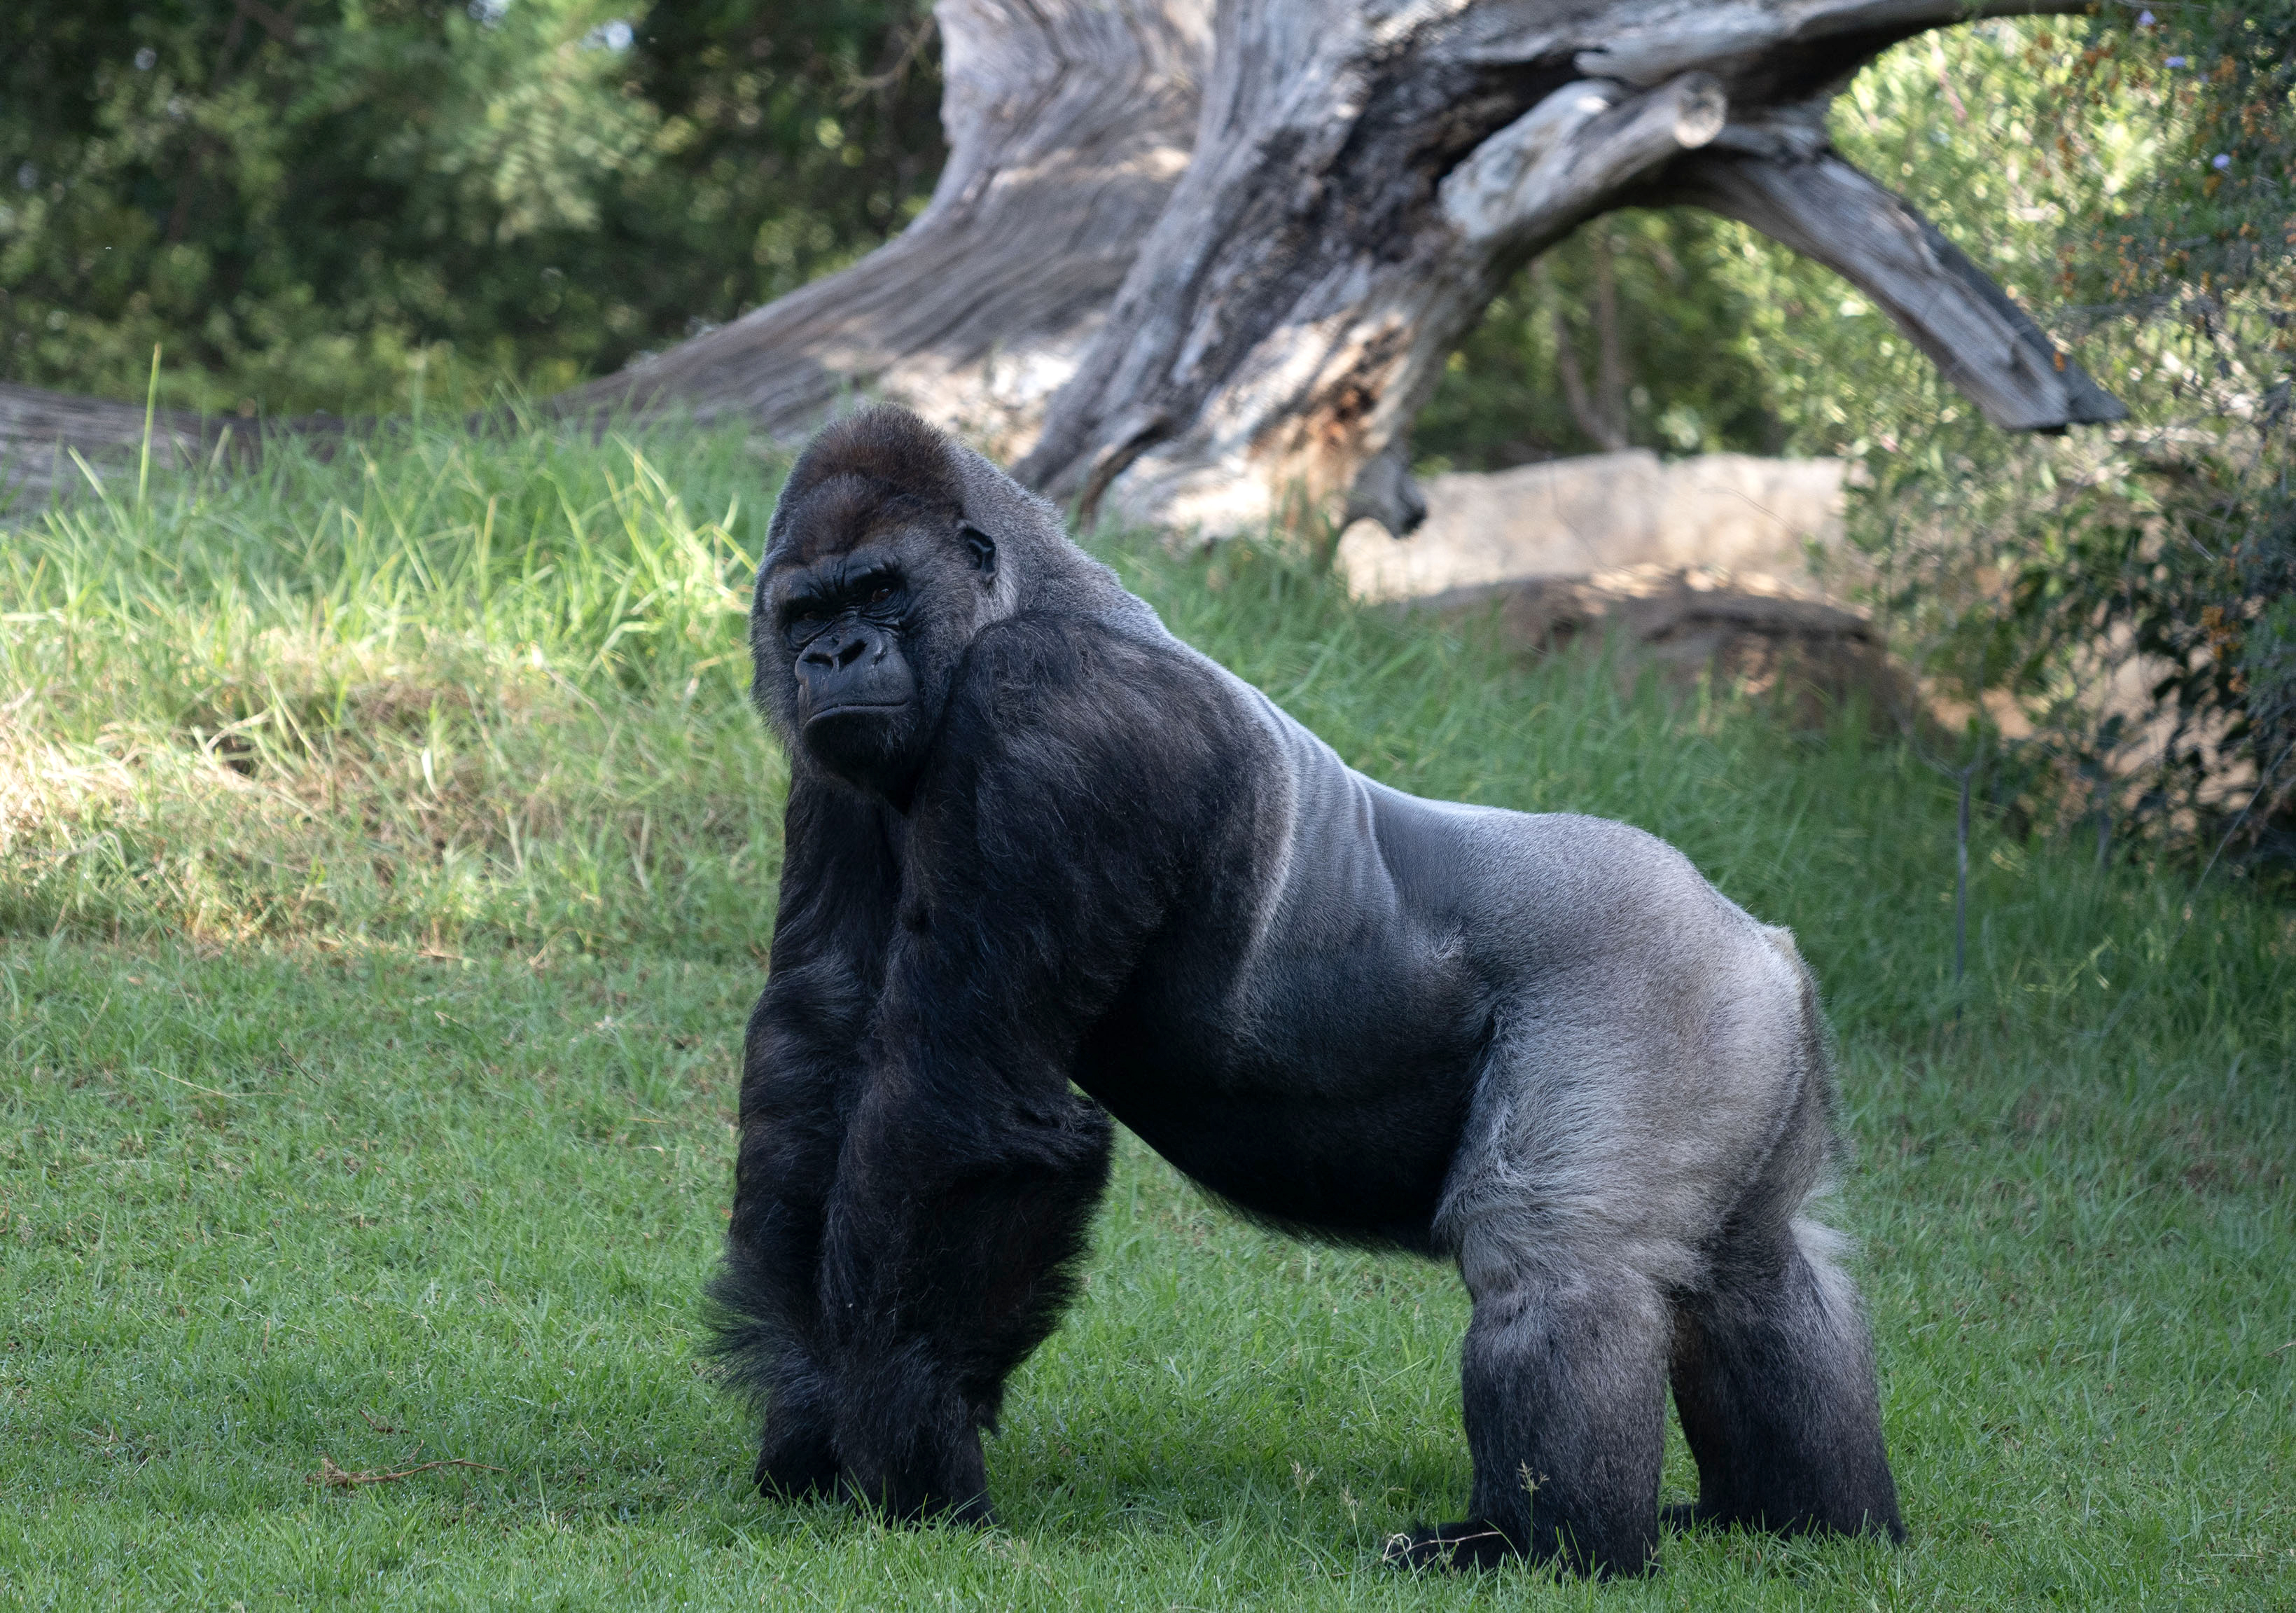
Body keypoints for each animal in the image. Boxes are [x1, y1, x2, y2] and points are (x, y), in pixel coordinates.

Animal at [707, 404, 1904, 1577]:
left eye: (879, 590)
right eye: (806, 608)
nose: (833, 651)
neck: (1029, 594)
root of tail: (1759, 941)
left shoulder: (1051, 707)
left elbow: (964, 1103)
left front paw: (905, 1441)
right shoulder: (837, 768)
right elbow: (819, 1046)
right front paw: (807, 1412)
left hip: (1653, 982)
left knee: (1558, 1258)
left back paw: (1546, 1544)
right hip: (1744, 1030)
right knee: (1760, 1269)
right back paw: (1801, 1521)